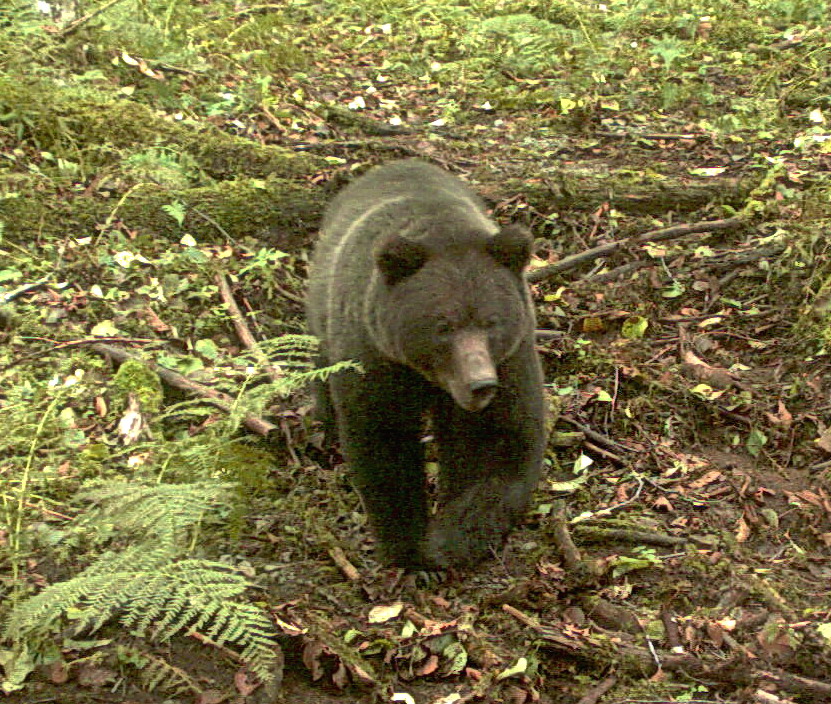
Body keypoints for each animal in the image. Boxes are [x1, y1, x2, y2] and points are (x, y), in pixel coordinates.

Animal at [306, 159, 547, 568]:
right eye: (443, 326)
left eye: (491, 321)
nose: (480, 384)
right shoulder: (376, 357)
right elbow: (383, 443)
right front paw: (408, 550)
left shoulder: (510, 360)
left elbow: (500, 440)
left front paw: (449, 541)